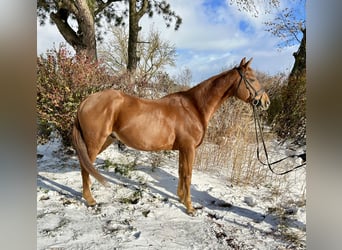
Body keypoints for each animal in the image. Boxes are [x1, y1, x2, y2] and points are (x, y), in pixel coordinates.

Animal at [71, 57, 270, 214]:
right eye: (252, 79)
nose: (266, 102)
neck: (194, 107)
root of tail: (86, 101)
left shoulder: (183, 149)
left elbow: (181, 172)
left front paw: (181, 198)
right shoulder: (189, 148)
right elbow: (188, 175)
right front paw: (190, 207)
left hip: (106, 140)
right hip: (95, 142)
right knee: (85, 166)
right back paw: (90, 199)